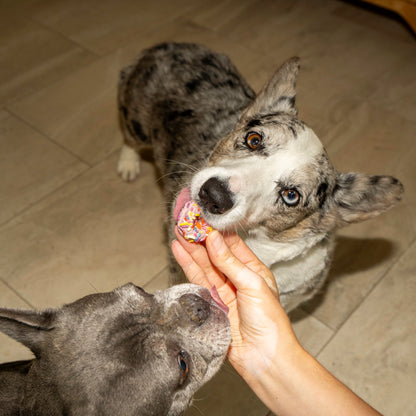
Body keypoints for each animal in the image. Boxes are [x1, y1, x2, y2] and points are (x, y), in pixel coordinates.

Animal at [118, 42, 404, 310]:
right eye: (253, 139)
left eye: (291, 195)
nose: (213, 194)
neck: (253, 243)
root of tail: (167, 47)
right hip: (136, 122)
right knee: (129, 136)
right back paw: (127, 164)